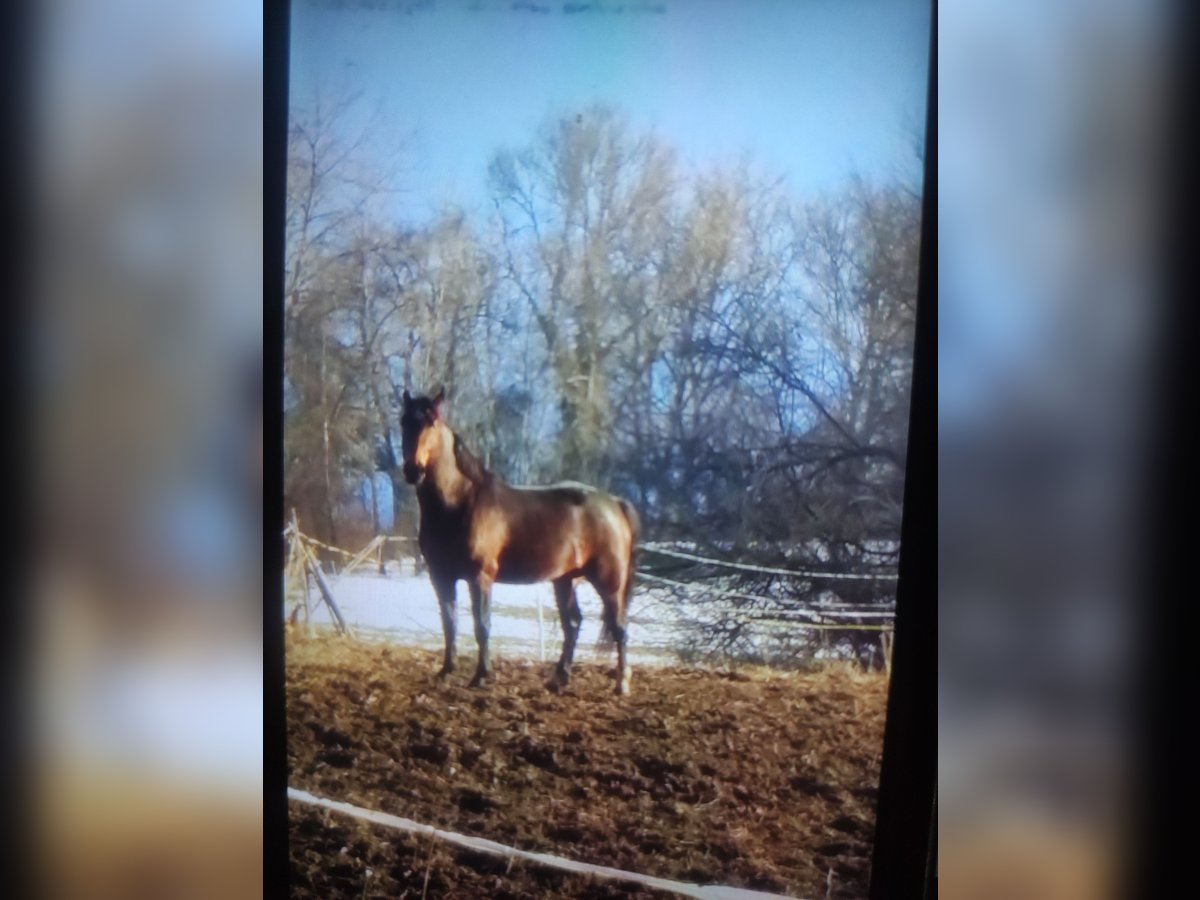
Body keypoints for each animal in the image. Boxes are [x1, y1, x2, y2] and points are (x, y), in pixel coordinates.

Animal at [398, 388, 643, 696]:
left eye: (431, 422)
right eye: (404, 422)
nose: (412, 470)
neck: (460, 503)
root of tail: (615, 503)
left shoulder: (480, 577)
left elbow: (482, 624)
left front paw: (481, 675)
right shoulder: (441, 577)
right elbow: (449, 623)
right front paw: (446, 671)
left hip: (609, 583)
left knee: (619, 627)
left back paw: (621, 684)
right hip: (565, 580)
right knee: (573, 624)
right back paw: (559, 678)